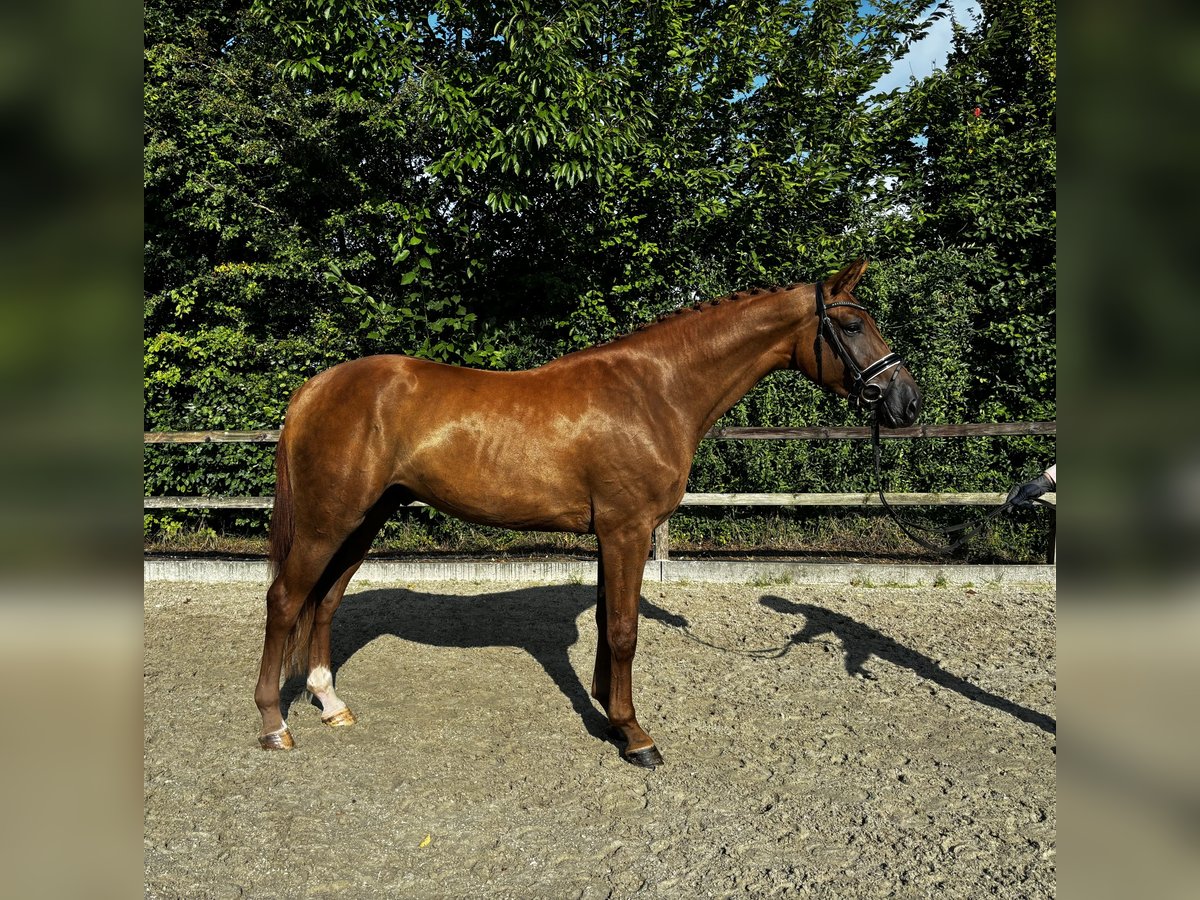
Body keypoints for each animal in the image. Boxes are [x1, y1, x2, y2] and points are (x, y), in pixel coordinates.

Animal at [258, 256, 921, 763]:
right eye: (853, 325)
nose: (907, 402)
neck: (655, 391)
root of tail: (315, 388)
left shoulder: (611, 535)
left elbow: (608, 623)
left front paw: (610, 714)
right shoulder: (627, 529)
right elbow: (624, 632)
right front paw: (636, 736)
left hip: (365, 518)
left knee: (326, 601)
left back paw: (331, 705)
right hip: (328, 520)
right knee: (287, 599)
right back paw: (274, 724)